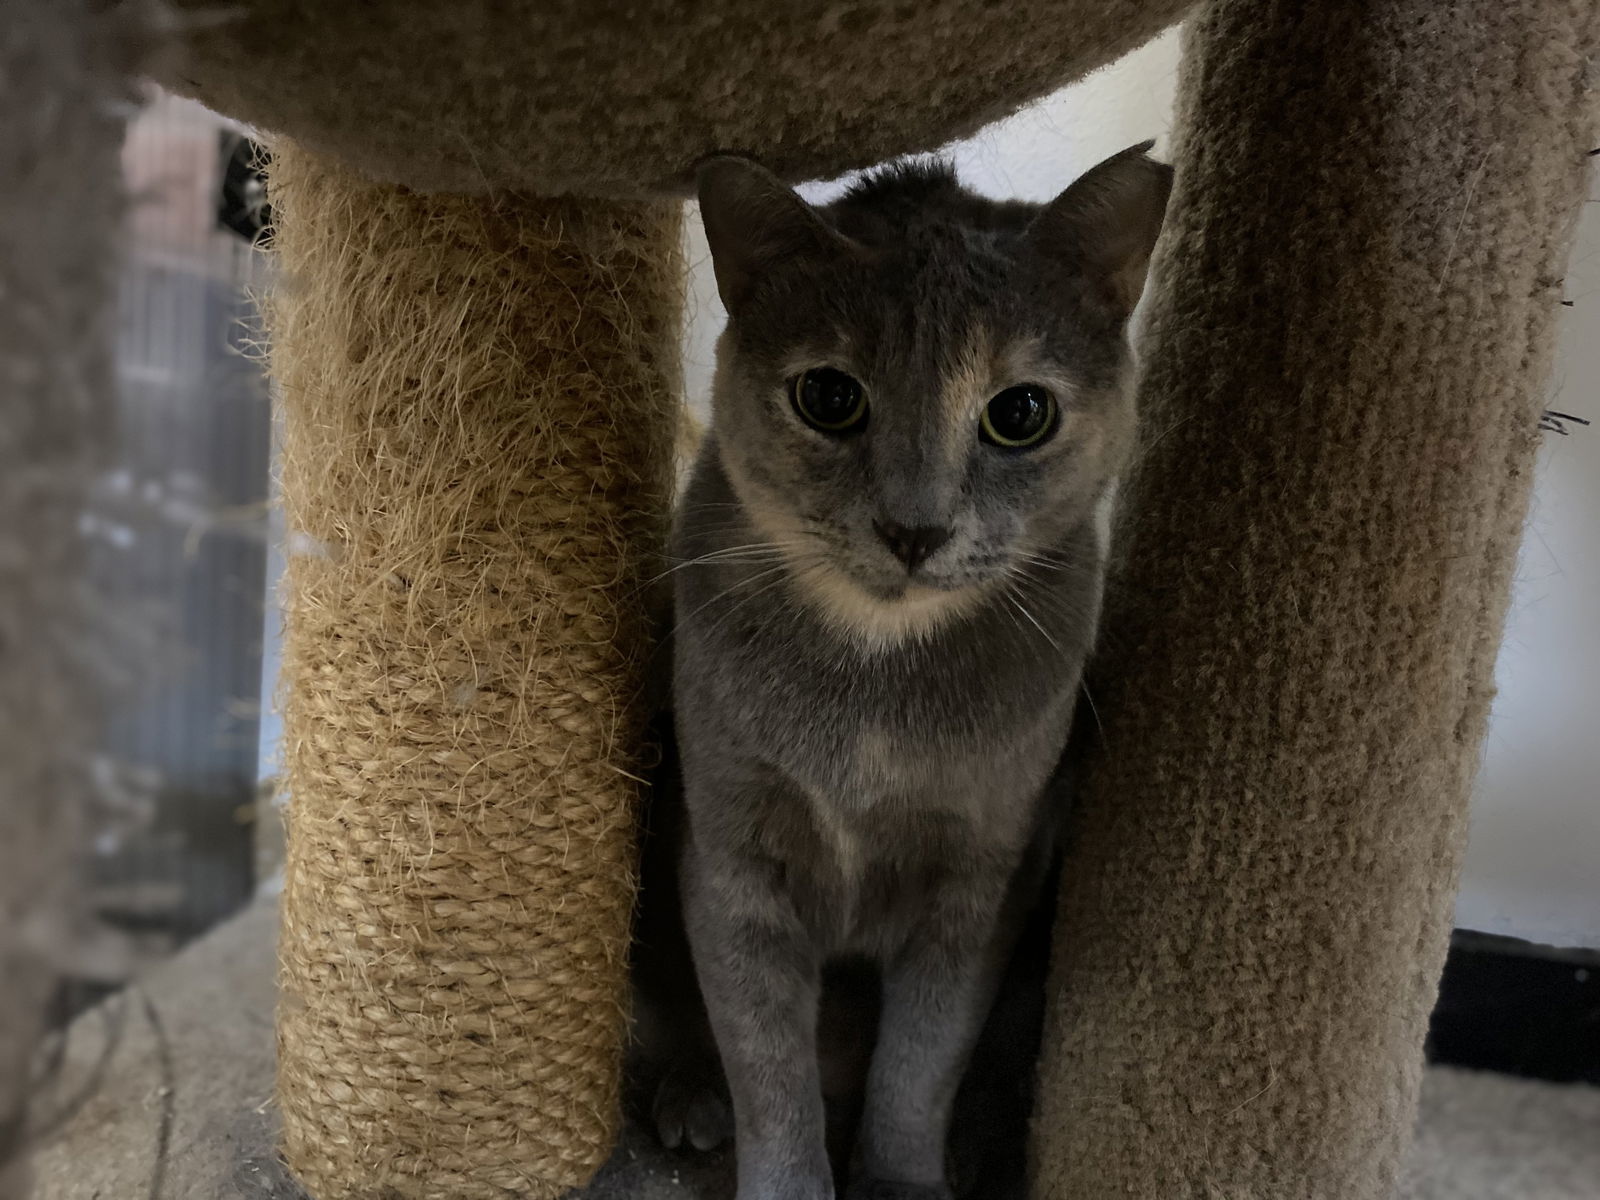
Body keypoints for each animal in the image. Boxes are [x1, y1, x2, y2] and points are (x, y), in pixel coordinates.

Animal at [630, 143, 1171, 1200]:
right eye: (830, 398)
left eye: (1021, 412)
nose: (913, 528)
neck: (873, 695)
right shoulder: (729, 848)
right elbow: (767, 1064)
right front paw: (789, 1180)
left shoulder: (985, 873)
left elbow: (923, 1059)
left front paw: (902, 1181)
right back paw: (689, 1103)